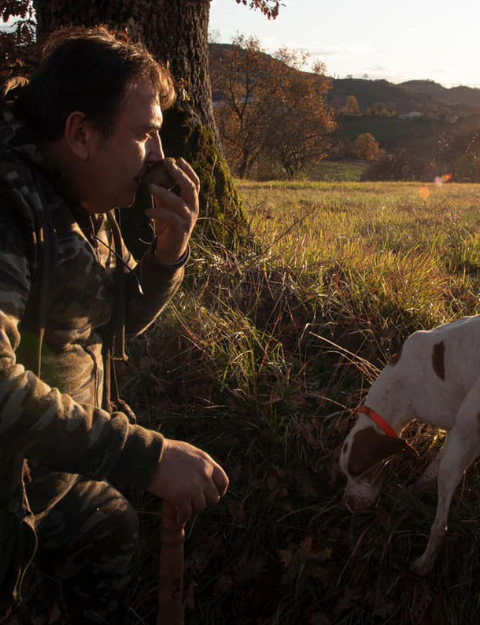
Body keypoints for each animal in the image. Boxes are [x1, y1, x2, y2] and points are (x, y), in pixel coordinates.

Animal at [340, 316, 480, 576]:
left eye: (359, 472)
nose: (348, 505)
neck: (400, 382)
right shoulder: (458, 434)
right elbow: (430, 472)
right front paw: (412, 491)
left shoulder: (459, 434)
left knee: (440, 527)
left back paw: (424, 564)